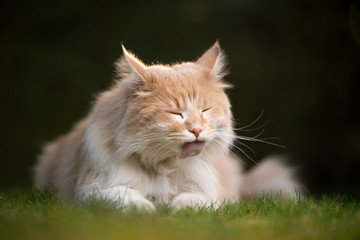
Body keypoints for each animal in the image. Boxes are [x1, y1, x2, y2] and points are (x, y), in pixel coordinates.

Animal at [33, 42, 300, 211]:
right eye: (176, 113)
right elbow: (124, 197)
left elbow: (197, 199)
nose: (196, 130)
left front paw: (178, 207)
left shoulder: (215, 193)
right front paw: (147, 208)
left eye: (205, 110)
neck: (165, 168)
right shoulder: (90, 190)